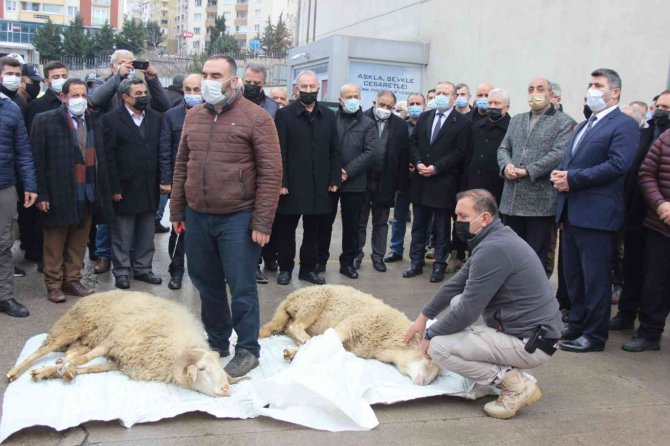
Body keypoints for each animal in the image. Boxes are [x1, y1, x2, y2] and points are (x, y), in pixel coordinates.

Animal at [6, 290, 245, 398]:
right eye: (202, 369)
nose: (226, 389)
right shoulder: (114, 340)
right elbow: (85, 361)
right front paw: (57, 371)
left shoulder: (121, 360)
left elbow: (91, 368)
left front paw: (60, 372)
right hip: (74, 326)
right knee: (44, 349)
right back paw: (15, 372)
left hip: (83, 339)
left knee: (71, 353)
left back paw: (56, 366)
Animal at [258, 286, 440, 386]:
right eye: (428, 360)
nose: (423, 382)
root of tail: (290, 297)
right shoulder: (356, 323)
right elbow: (329, 339)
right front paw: (295, 352)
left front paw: (297, 353)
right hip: (315, 300)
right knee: (296, 325)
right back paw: (304, 338)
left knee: (288, 326)